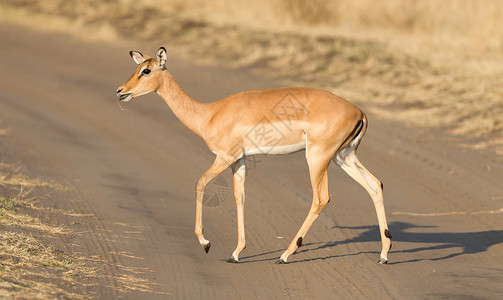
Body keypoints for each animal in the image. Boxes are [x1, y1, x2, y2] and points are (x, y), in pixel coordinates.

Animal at [117, 45, 394, 264]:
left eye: (147, 70)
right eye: (138, 66)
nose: (120, 91)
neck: (209, 114)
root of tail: (359, 112)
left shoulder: (225, 157)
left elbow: (200, 183)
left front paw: (206, 243)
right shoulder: (239, 161)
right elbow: (240, 197)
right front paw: (236, 253)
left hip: (318, 158)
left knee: (321, 198)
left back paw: (285, 255)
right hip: (343, 157)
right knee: (375, 185)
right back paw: (383, 254)